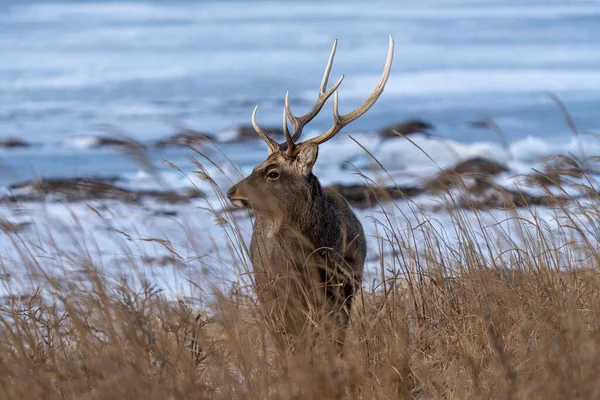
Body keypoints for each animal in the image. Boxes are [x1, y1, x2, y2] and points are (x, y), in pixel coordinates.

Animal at [226, 35, 394, 354]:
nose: (231, 191)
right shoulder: (284, 293)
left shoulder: (344, 290)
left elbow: (335, 344)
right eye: (256, 165)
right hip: (264, 287)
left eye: (272, 172)